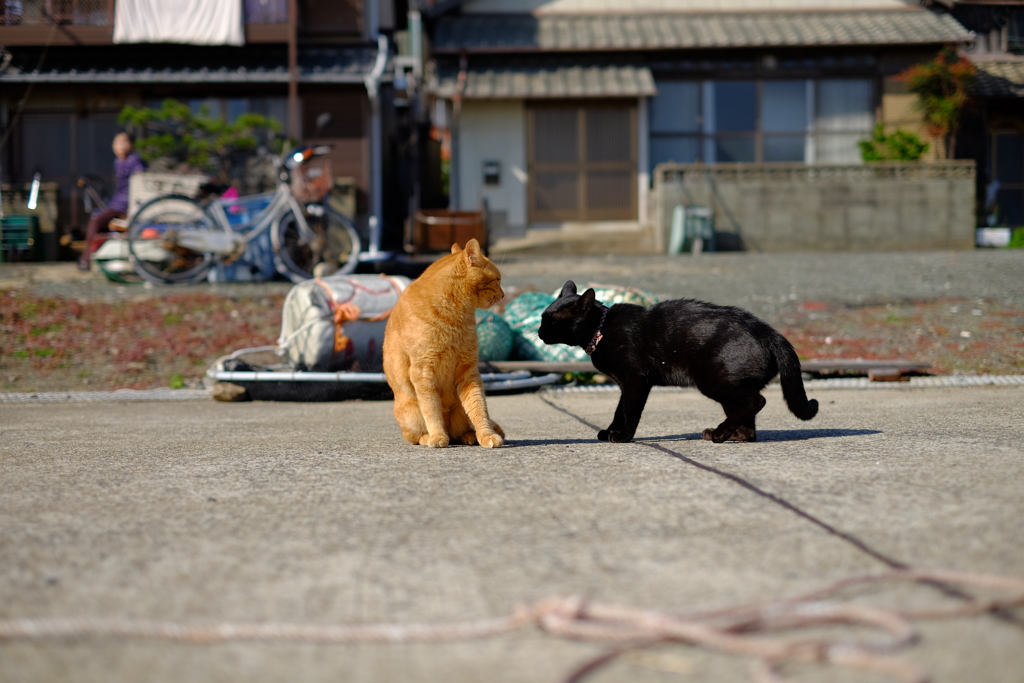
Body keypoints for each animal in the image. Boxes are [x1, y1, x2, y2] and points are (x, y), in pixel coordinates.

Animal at [382, 240, 505, 448]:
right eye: (497, 279)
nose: (504, 295)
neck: (457, 314)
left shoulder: (468, 370)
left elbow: (479, 408)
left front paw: (486, 435)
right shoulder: (423, 371)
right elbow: (431, 410)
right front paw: (438, 436)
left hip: (458, 411)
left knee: (461, 429)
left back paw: (469, 436)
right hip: (411, 414)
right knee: (415, 436)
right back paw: (429, 437)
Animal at [536, 282, 815, 446]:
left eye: (553, 322)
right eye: (541, 318)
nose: (539, 332)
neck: (601, 331)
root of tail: (769, 331)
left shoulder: (636, 380)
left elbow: (630, 411)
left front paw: (623, 436)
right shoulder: (625, 384)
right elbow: (619, 410)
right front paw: (609, 431)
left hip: (714, 381)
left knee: (756, 401)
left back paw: (719, 434)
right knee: (749, 429)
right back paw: (727, 434)